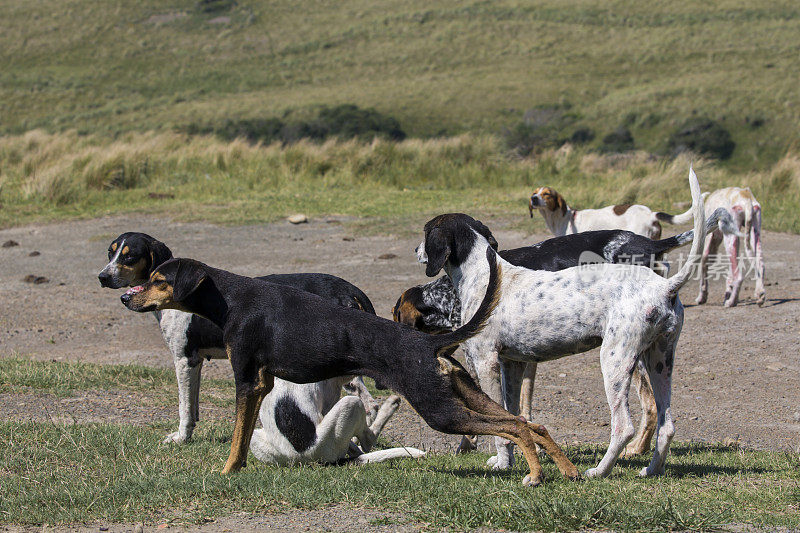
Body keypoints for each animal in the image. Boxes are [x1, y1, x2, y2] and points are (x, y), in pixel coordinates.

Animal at [120, 249, 580, 486]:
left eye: (160, 280)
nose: (126, 297)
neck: (231, 299)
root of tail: (427, 341)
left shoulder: (247, 381)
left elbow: (236, 440)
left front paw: (227, 471)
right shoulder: (262, 385)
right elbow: (244, 434)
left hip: (438, 410)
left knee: (515, 426)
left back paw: (536, 474)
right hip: (459, 393)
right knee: (532, 424)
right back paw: (568, 471)